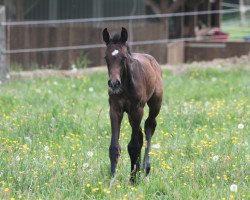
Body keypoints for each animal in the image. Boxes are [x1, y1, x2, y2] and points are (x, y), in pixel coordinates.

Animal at [102, 27, 163, 183]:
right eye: (106, 58)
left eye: (123, 57)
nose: (114, 84)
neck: (126, 84)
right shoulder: (115, 109)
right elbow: (114, 147)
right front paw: (112, 180)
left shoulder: (137, 109)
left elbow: (133, 146)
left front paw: (133, 180)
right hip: (130, 114)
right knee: (140, 134)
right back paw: (139, 170)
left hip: (155, 104)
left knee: (149, 126)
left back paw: (146, 170)